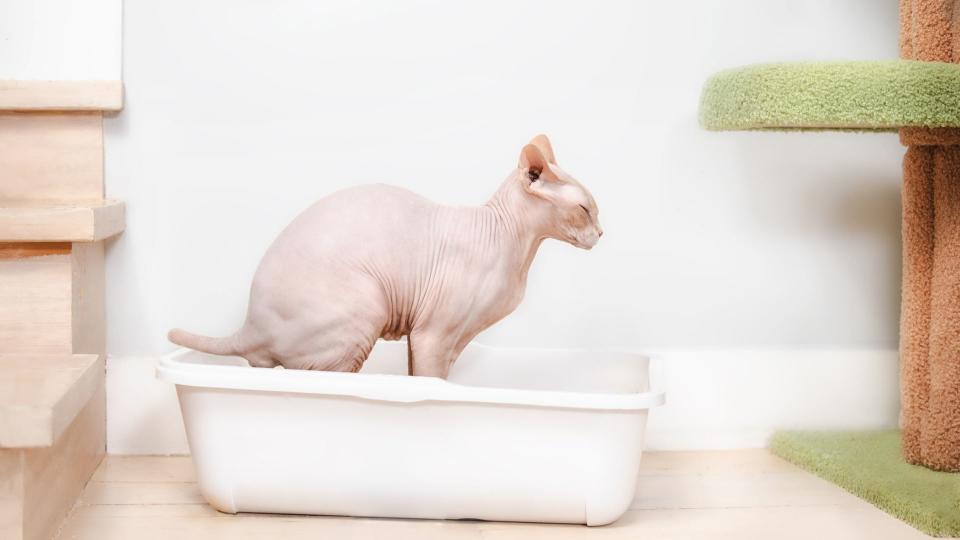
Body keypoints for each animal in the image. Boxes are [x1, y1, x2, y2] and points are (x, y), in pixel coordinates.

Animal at [166, 134, 600, 378]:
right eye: (585, 209)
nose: (601, 233)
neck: (515, 245)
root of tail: (248, 325)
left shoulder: (431, 340)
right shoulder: (432, 336)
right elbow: (431, 386)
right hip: (364, 309)